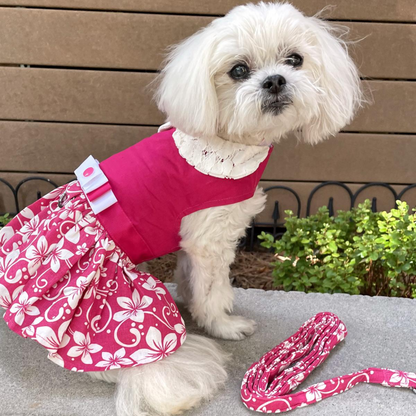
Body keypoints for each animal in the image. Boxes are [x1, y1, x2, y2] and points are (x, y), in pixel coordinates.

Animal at [90, 1, 360, 414]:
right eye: (238, 70)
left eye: (294, 59)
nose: (275, 81)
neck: (222, 145)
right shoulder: (210, 237)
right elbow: (212, 288)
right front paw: (222, 324)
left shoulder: (194, 241)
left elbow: (191, 280)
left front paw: (193, 305)